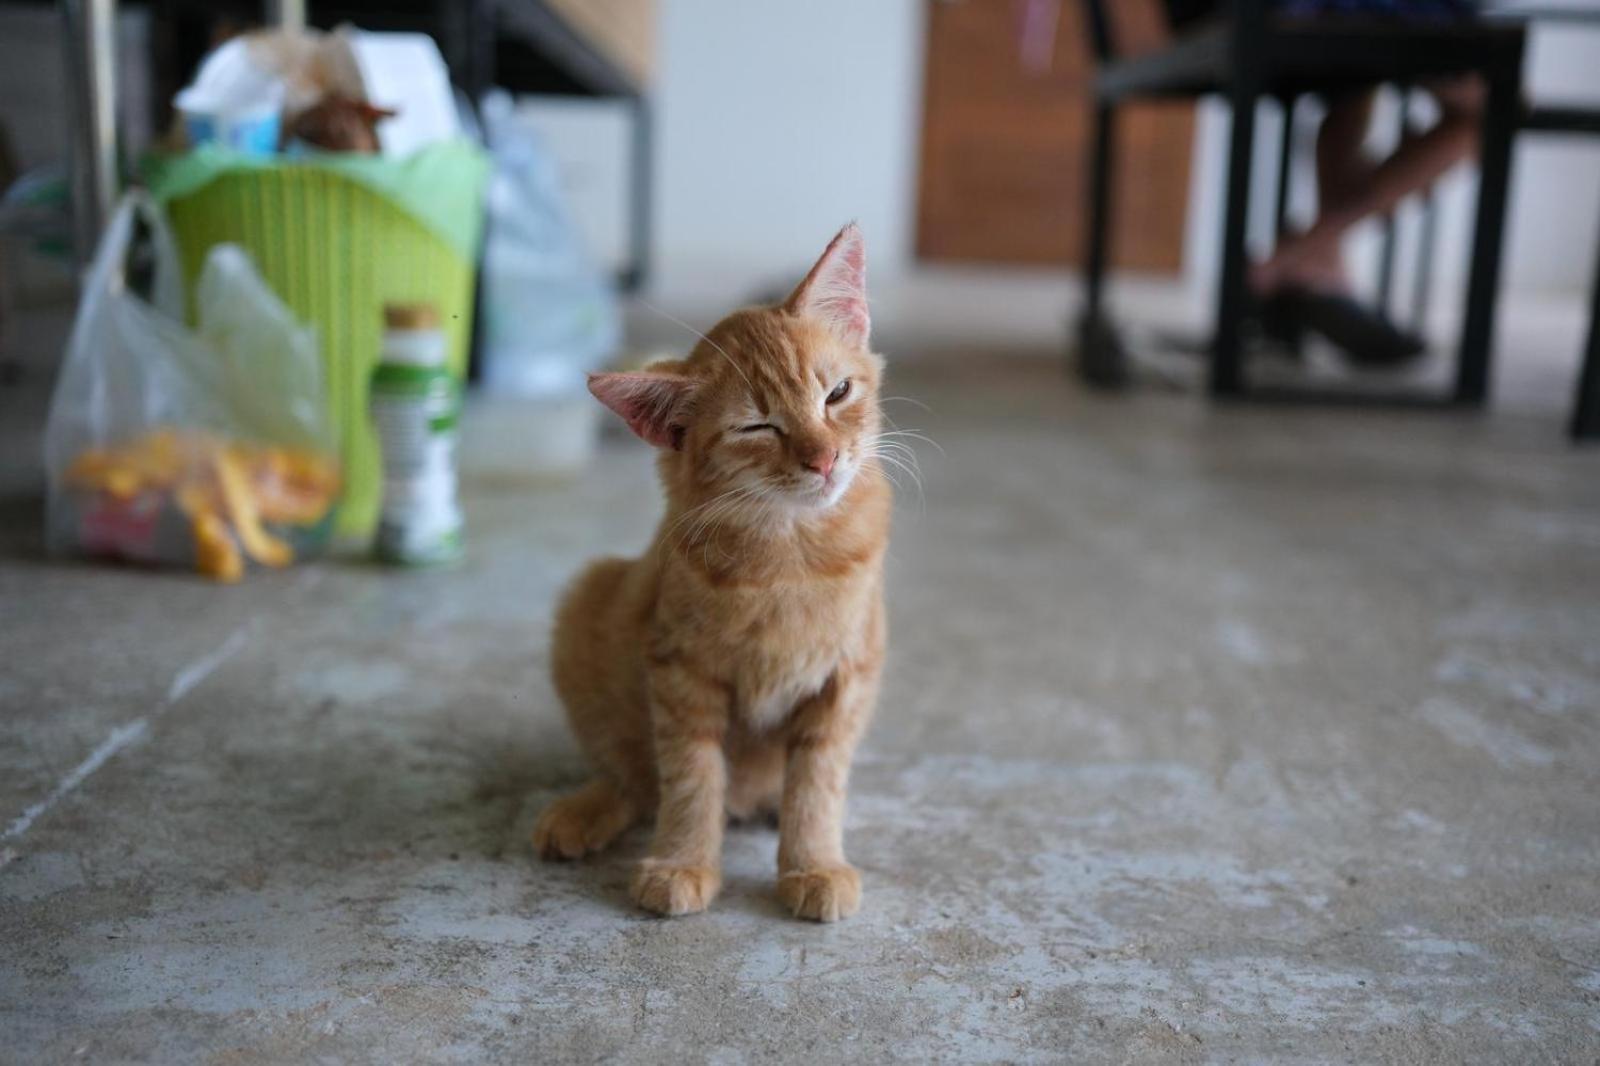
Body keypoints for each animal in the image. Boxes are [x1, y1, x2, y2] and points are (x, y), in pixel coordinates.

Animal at [534, 219, 889, 915]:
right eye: (758, 427)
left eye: (837, 393)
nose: (824, 458)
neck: (789, 555)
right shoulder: (680, 671)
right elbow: (692, 777)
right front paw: (682, 862)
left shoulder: (848, 676)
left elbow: (818, 779)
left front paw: (813, 863)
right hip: (588, 602)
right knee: (633, 778)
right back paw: (583, 811)